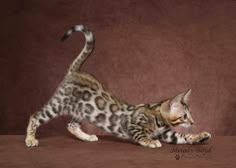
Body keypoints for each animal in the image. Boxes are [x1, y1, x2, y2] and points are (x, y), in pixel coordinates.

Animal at [24, 24, 211, 148]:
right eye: (185, 116)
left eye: (190, 114)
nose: (193, 122)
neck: (157, 116)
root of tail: (75, 71)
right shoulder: (131, 124)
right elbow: (140, 134)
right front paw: (150, 141)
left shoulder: (168, 133)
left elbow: (182, 136)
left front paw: (199, 136)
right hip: (59, 104)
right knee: (36, 116)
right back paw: (30, 139)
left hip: (82, 109)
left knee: (71, 125)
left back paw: (87, 137)